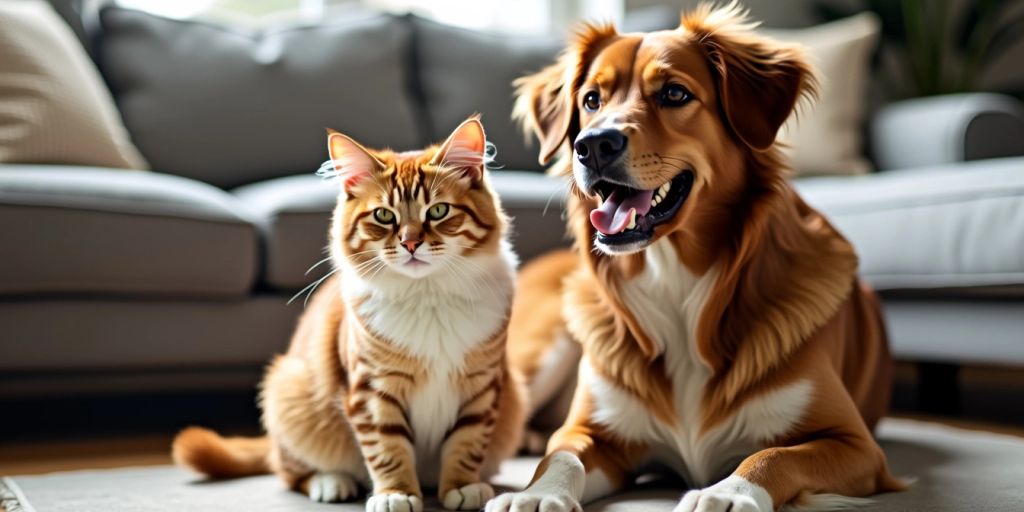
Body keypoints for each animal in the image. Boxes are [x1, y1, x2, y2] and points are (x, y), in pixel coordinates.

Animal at [173, 117, 524, 512]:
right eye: (384, 216)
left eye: (438, 211)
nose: (410, 243)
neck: (428, 295)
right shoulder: (372, 389)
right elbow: (387, 449)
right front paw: (396, 493)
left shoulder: (483, 386)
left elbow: (467, 443)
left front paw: (462, 487)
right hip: (288, 391)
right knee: (288, 471)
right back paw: (331, 483)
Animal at [491, 4, 901, 512]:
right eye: (590, 100)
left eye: (674, 93)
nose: (592, 145)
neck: (675, 280)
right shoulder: (593, 432)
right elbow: (561, 455)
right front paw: (535, 493)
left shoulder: (857, 445)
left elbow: (774, 454)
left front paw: (729, 493)